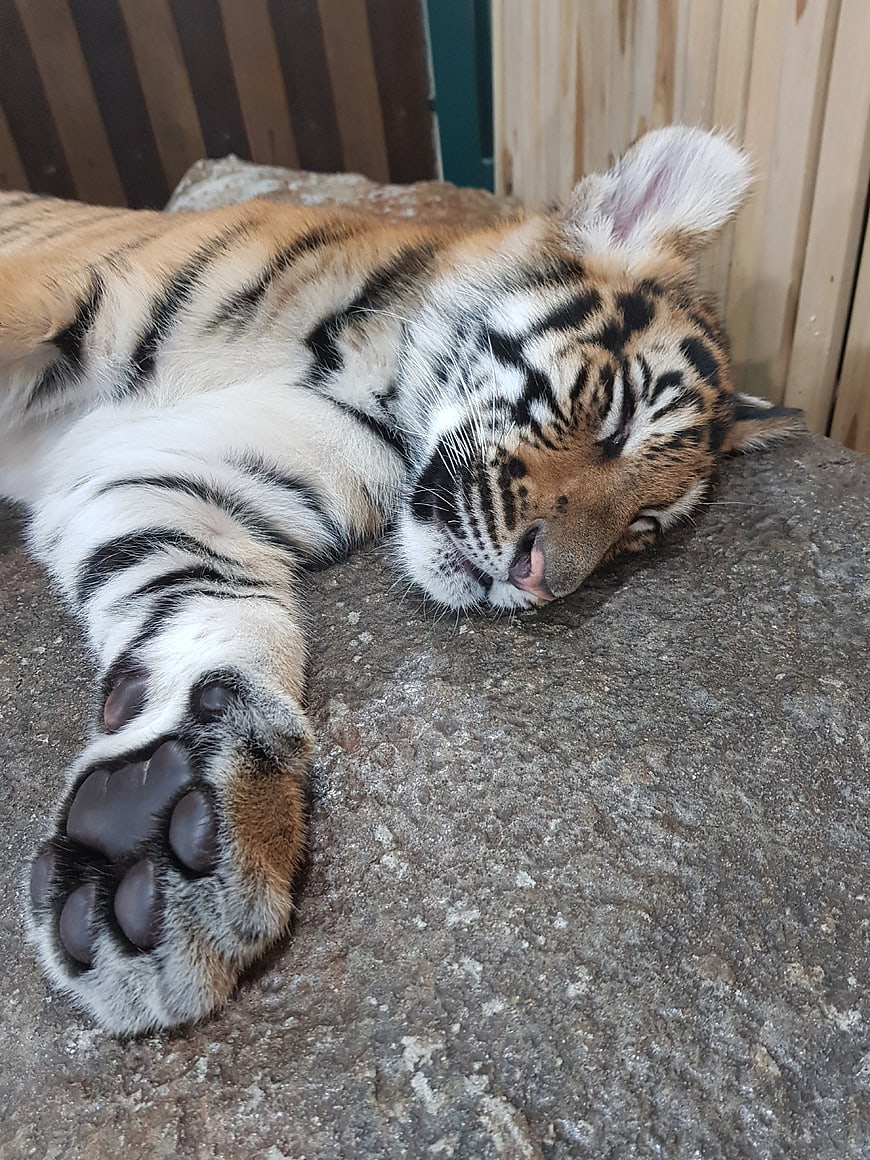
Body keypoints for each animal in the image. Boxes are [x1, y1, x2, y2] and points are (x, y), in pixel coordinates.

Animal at [0, 126, 803, 1034]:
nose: (540, 583)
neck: (373, 383)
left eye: (642, 528)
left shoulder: (161, 475)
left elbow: (210, 603)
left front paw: (153, 834)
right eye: (618, 417)